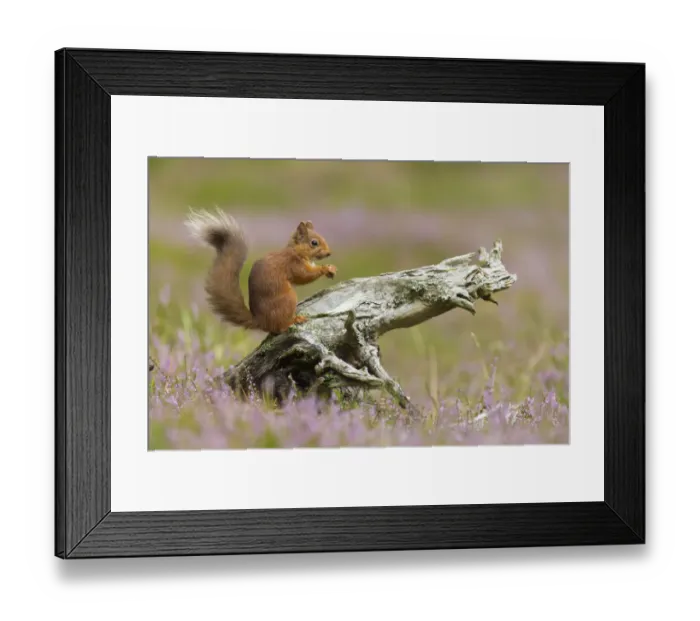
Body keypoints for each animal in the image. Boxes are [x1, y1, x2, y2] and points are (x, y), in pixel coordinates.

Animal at [185, 208, 337, 334]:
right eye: (314, 243)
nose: (329, 253)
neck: (296, 251)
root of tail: (262, 322)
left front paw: (331, 268)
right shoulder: (293, 264)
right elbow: (304, 276)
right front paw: (325, 268)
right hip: (288, 299)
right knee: (280, 328)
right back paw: (295, 320)